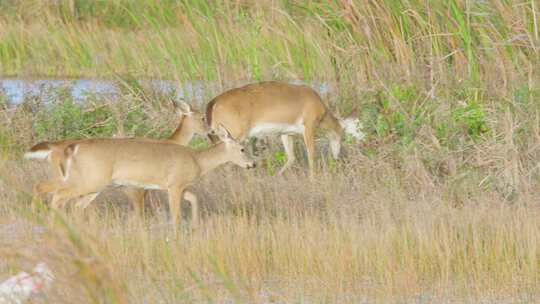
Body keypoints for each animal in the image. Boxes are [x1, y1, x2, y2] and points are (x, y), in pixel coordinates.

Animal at [23, 124, 255, 227]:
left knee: (72, 202)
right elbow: (176, 213)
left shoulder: (176, 186)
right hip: (90, 180)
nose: (253, 163)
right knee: (58, 196)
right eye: (243, 149)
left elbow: (194, 198)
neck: (197, 160)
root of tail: (74, 147)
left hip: (91, 184)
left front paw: (196, 226)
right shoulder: (175, 184)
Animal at [24, 101, 209, 214]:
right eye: (202, 117)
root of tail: (54, 148)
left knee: (43, 188)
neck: (171, 141)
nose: (210, 131)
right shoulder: (139, 188)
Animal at [205, 81, 364, 176]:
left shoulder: (286, 134)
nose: (337, 157)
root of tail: (215, 102)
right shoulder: (308, 129)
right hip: (234, 138)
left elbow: (291, 157)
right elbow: (311, 155)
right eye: (342, 135)